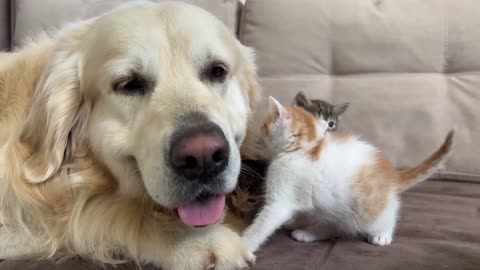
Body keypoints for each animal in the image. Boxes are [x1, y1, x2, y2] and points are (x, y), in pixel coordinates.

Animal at [242, 97, 456, 253]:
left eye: (264, 125)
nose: (259, 133)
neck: (302, 149)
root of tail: (391, 175)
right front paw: (295, 221)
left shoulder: (281, 198)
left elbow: (263, 224)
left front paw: (243, 246)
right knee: (336, 225)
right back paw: (308, 233)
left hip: (366, 209)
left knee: (385, 216)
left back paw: (383, 234)